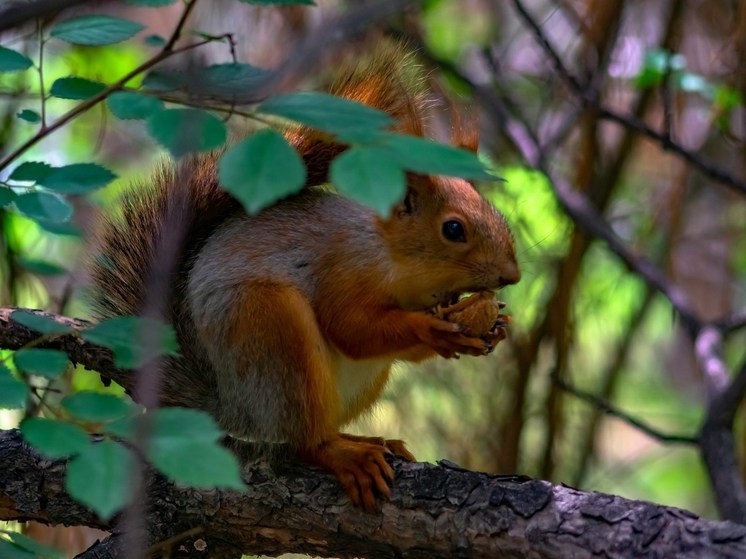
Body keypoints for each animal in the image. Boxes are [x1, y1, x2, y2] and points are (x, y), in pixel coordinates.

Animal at [90, 47, 520, 512]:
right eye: (454, 229)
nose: (511, 275)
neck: (396, 260)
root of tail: (229, 405)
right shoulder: (341, 269)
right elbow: (351, 328)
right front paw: (434, 330)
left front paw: (494, 326)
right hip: (274, 335)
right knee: (303, 442)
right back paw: (345, 455)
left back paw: (369, 440)